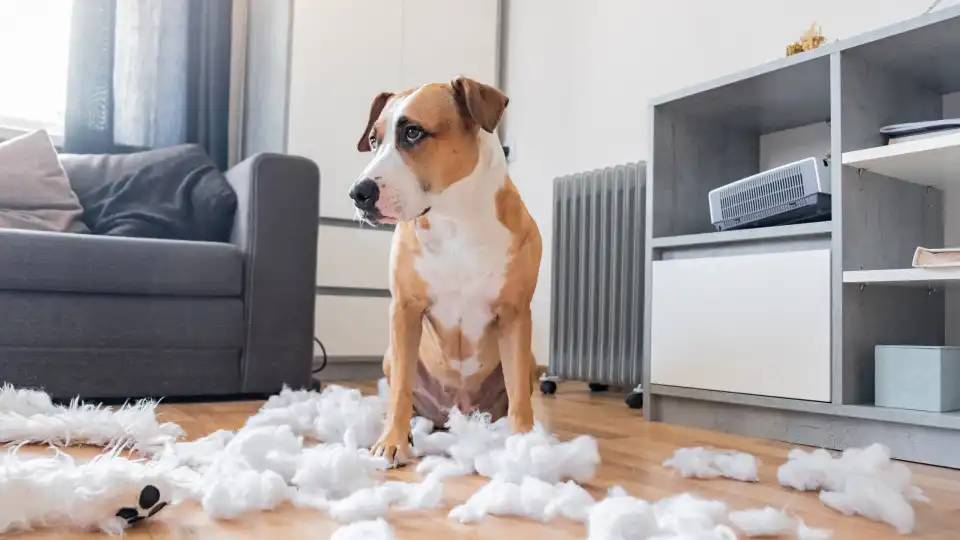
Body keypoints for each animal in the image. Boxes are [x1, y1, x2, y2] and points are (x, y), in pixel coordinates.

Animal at [348, 74, 540, 466]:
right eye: (374, 140)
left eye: (413, 132)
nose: (359, 193)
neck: (455, 219)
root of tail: (457, 412)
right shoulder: (405, 310)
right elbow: (401, 388)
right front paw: (392, 441)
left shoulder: (515, 314)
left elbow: (518, 393)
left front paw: (523, 445)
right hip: (391, 355)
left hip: (530, 358)